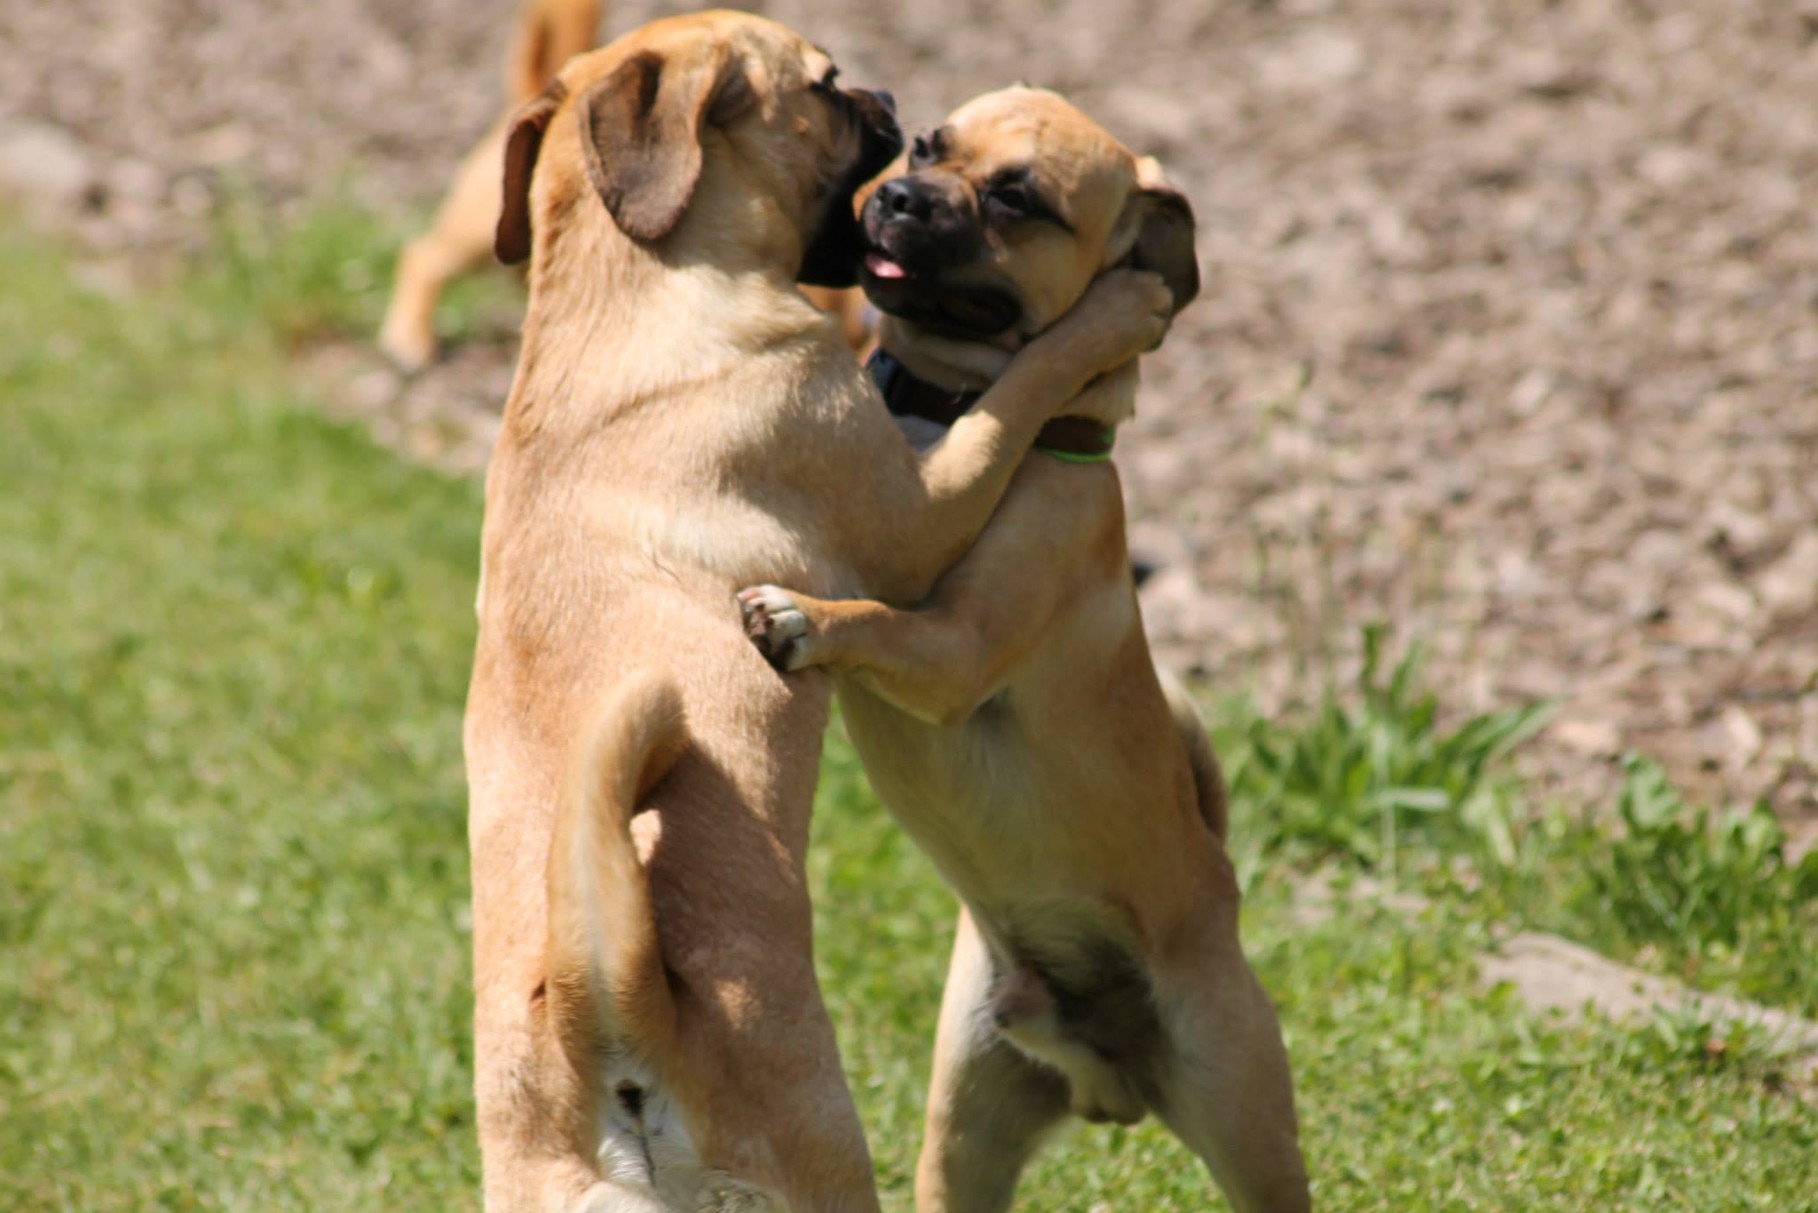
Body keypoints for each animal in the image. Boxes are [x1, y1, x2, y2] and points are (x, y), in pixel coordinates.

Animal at [458, 18, 1163, 1213]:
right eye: (829, 89)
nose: (888, 101)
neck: (627, 281)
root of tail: (609, 1014)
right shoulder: (919, 509)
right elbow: (1017, 390)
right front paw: (1113, 318)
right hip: (828, 1150)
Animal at [745, 87, 1316, 1213]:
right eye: (929, 147)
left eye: (1017, 201)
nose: (902, 198)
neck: (937, 410)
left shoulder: (954, 649)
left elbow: (876, 616)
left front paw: (805, 617)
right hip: (967, 1127)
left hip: (1246, 1122)